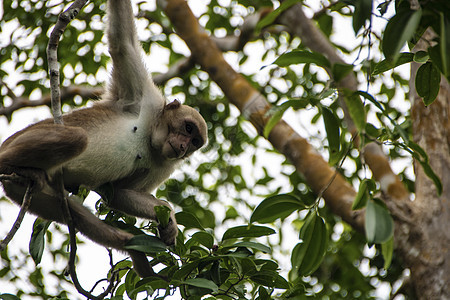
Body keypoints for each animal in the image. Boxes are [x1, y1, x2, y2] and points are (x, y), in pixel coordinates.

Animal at [0, 0, 207, 278]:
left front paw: (168, 219)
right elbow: (122, 42)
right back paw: (9, 163)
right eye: (187, 128)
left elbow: (120, 192)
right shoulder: (146, 98)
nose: (184, 147)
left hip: (28, 192)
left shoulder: (164, 164)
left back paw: (133, 250)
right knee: (76, 138)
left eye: (195, 142)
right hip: (18, 141)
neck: (151, 136)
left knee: (72, 213)